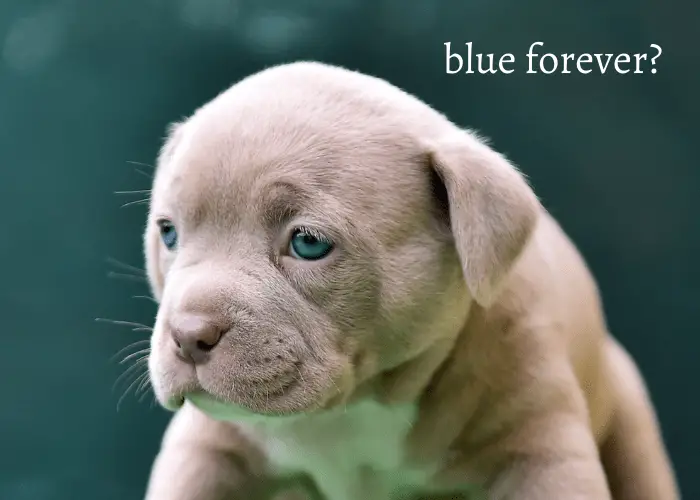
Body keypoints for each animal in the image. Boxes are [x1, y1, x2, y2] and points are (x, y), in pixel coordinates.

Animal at [142, 60, 680, 498]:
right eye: (168, 232)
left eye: (308, 243)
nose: (187, 336)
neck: (363, 403)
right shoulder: (208, 450)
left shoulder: (542, 452)